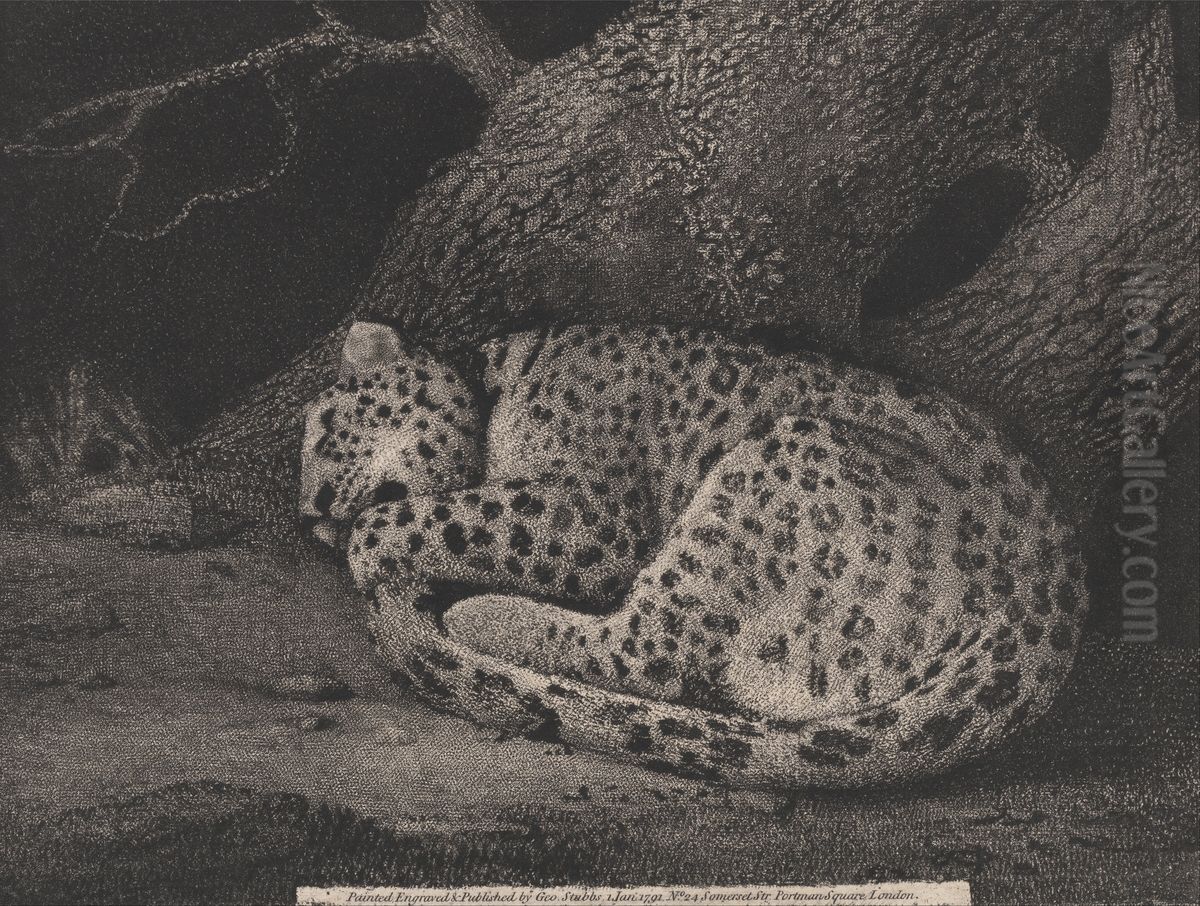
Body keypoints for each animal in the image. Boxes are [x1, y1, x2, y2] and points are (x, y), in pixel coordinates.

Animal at [299, 319, 1087, 789]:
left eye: (327, 430)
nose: (310, 516)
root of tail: (1045, 609)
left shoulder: (592, 516)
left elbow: (436, 515)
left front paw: (371, 549)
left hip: (775, 467)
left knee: (650, 651)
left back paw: (477, 615)